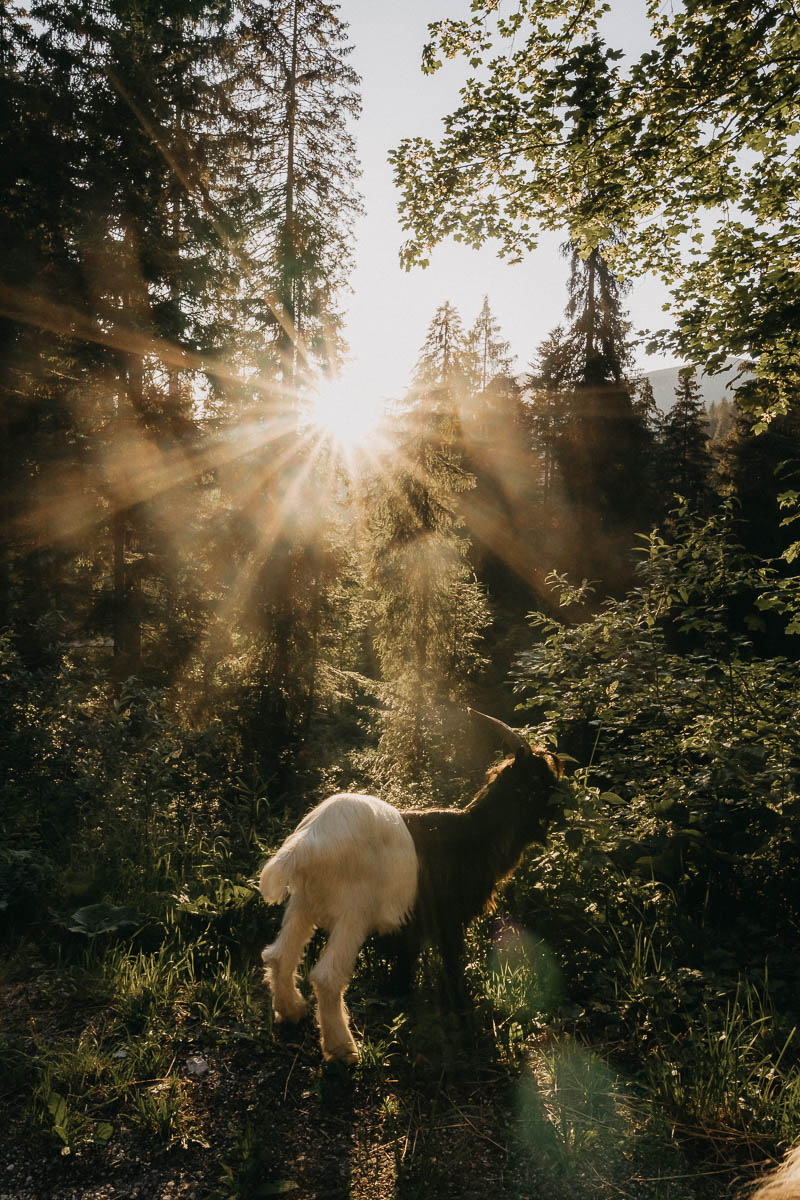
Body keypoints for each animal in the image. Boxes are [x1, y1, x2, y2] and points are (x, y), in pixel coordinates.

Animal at [257, 705, 563, 1065]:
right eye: (543, 779)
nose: (561, 810)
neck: (476, 832)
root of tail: (307, 842)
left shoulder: (410, 924)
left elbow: (406, 964)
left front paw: (400, 998)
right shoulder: (449, 920)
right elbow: (452, 967)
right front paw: (463, 1017)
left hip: (303, 903)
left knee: (279, 955)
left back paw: (291, 1011)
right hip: (353, 912)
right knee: (327, 977)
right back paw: (343, 1049)